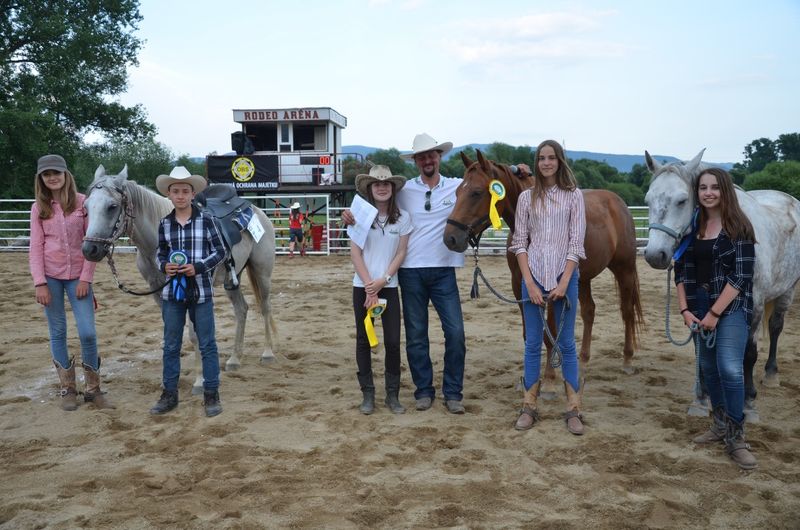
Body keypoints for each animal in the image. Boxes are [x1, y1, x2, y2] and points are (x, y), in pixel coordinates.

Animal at [81, 165, 278, 394]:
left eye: (112, 207)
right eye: (86, 206)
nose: (90, 249)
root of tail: (256, 210)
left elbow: (193, 335)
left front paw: (200, 382)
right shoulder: (158, 291)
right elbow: (171, 333)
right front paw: (167, 382)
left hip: (262, 272)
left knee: (265, 307)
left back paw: (267, 353)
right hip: (232, 278)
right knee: (242, 309)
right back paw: (235, 359)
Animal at [443, 150, 644, 394]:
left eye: (476, 192)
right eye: (457, 192)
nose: (450, 238)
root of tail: (618, 203)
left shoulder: (552, 287)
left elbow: (550, 333)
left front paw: (548, 379)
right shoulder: (521, 285)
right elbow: (530, 334)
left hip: (624, 269)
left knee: (627, 311)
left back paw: (627, 360)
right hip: (582, 280)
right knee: (589, 312)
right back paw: (583, 362)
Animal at [644, 149, 800, 422]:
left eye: (682, 201)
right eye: (648, 200)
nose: (655, 255)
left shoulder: (754, 306)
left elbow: (749, 353)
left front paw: (749, 403)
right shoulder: (695, 303)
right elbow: (700, 348)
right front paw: (701, 398)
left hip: (787, 291)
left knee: (776, 327)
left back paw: (771, 375)